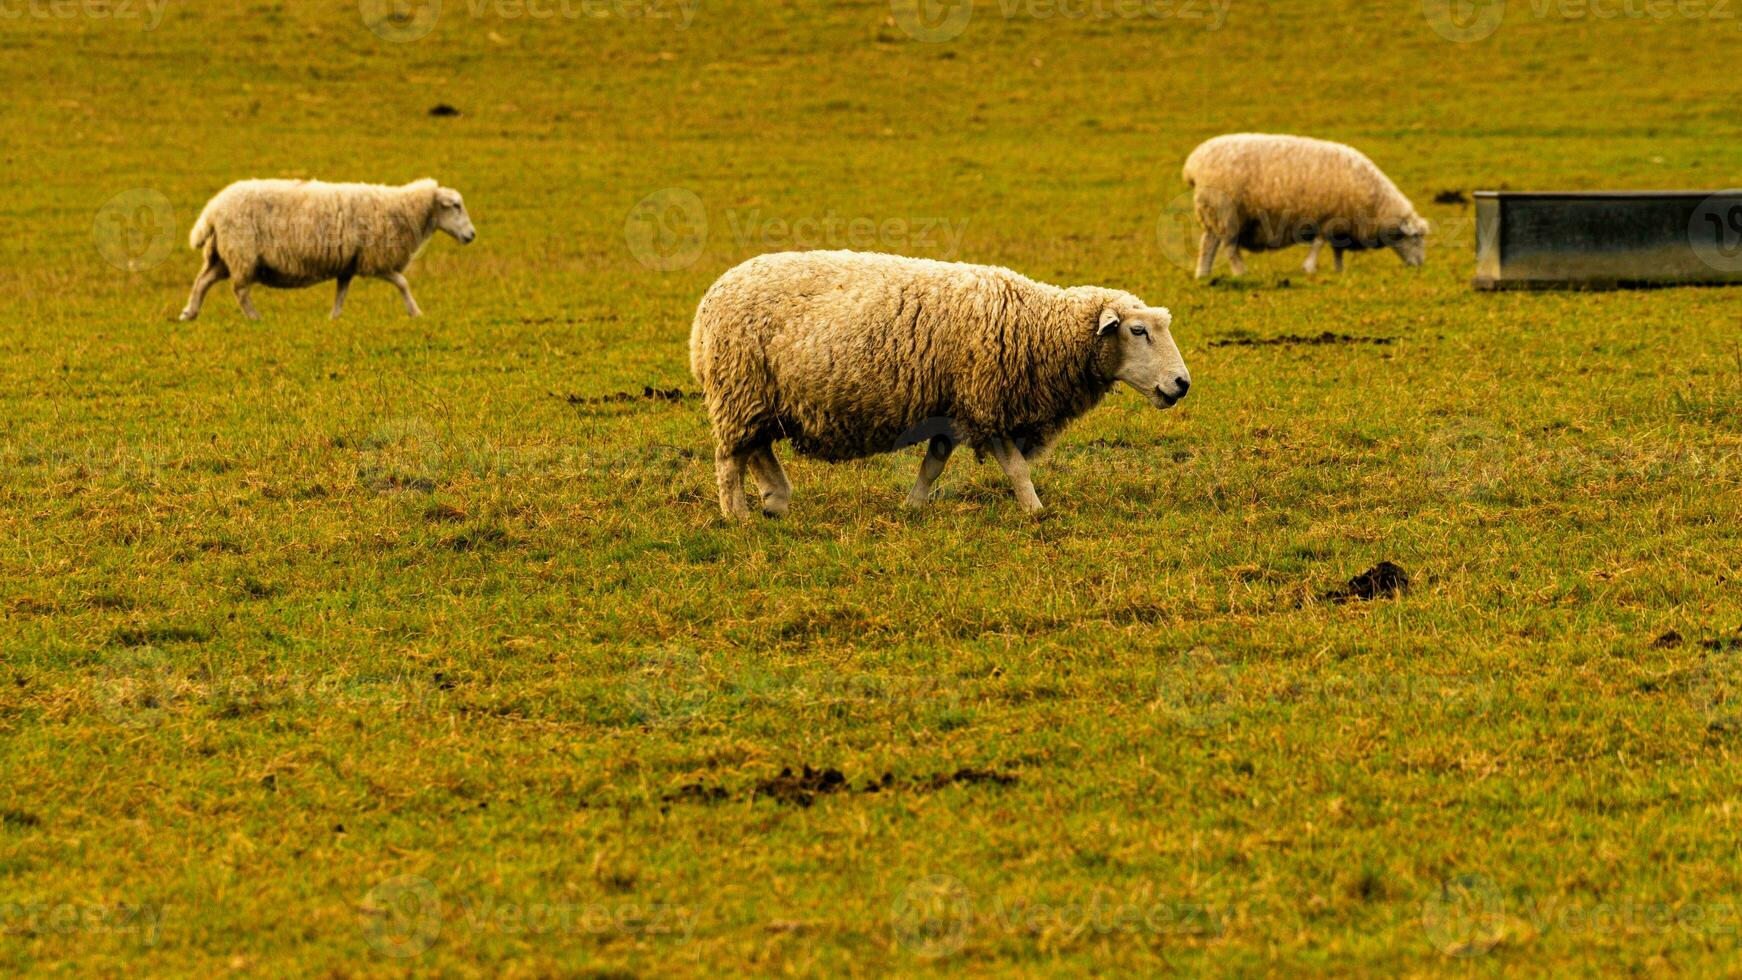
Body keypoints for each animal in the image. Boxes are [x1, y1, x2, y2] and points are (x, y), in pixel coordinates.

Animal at [178, 178, 477, 323]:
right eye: (456, 206)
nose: (472, 235)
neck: (402, 209)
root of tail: (213, 208)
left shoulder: (350, 263)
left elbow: (341, 294)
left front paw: (333, 318)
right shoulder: (375, 261)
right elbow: (403, 282)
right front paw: (416, 313)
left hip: (222, 255)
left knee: (202, 281)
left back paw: (189, 313)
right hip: (242, 253)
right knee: (240, 290)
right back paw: (254, 318)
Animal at [686, 250, 1191, 522]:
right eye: (1138, 331)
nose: (1182, 383)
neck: (1037, 326)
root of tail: (709, 299)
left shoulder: (954, 407)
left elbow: (933, 465)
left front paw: (912, 506)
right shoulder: (986, 405)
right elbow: (1016, 468)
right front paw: (1036, 510)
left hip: (759, 397)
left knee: (755, 449)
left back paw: (776, 500)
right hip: (739, 387)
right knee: (729, 460)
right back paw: (738, 514)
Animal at [1177, 132, 1421, 278]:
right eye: (1416, 238)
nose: (1420, 264)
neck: (1377, 204)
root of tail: (1193, 164)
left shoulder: (1339, 224)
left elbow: (1336, 249)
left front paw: (1338, 269)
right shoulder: (1328, 217)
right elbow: (1320, 244)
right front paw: (1310, 267)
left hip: (1213, 214)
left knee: (1208, 244)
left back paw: (1203, 273)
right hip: (1226, 212)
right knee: (1228, 247)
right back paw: (1240, 272)